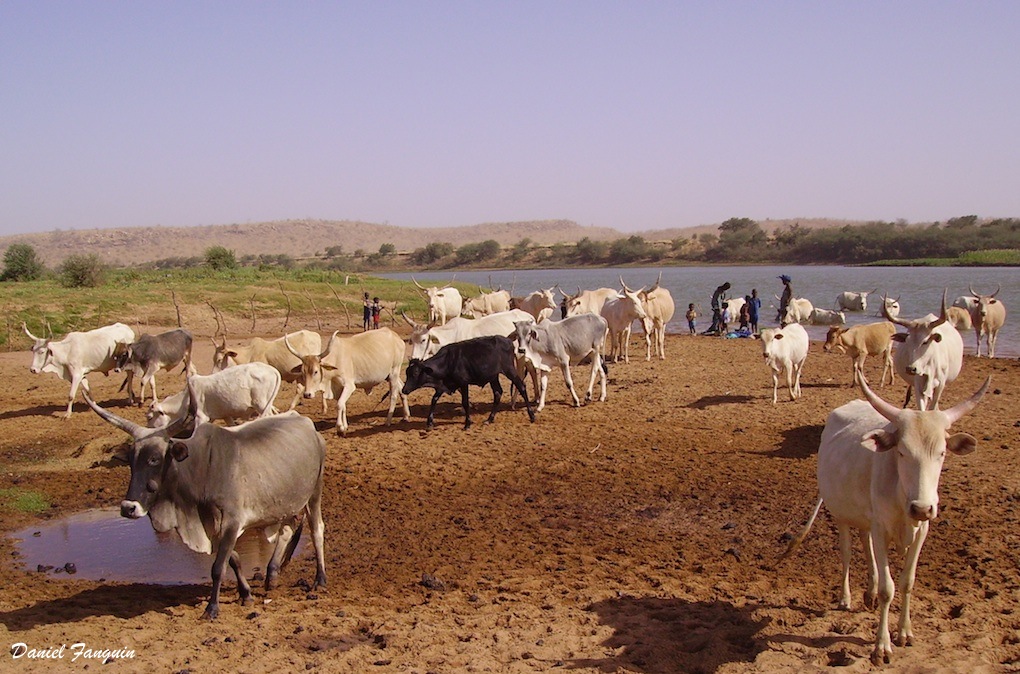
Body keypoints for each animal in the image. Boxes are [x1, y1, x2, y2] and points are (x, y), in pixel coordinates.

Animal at [401, 334, 538, 428]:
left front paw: (467, 423)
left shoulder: (463, 383)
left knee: (521, 387)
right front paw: (429, 422)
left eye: (415, 373)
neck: (448, 361)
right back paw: (489, 419)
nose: (404, 389)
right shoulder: (444, 385)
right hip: (493, 376)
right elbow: (434, 400)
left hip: (509, 370)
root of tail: (508, 341)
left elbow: (465, 402)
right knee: (498, 393)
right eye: (407, 373)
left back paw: (532, 416)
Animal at [779, 375, 987, 664]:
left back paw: (869, 593)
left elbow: (907, 582)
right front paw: (882, 646)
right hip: (841, 515)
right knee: (847, 553)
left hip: (867, 518)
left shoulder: (921, 531)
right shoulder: (881, 530)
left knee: (866, 545)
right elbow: (888, 589)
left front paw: (905, 633)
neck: (902, 492)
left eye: (942, 453)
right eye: (901, 452)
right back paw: (846, 598)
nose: (922, 508)